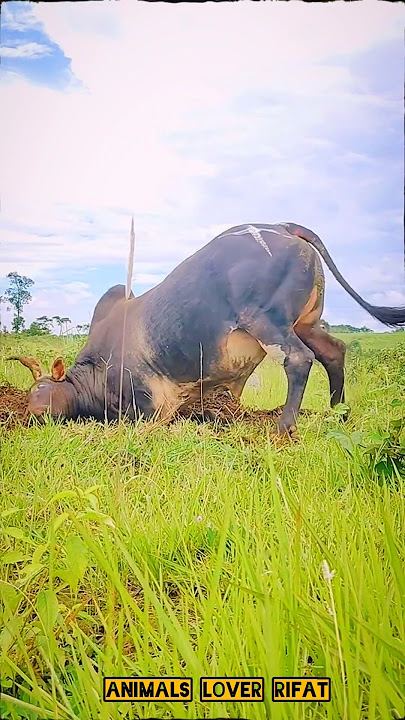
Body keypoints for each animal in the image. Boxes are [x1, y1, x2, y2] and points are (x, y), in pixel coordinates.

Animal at [9, 222, 405, 436]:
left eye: (42, 388)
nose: (29, 418)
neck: (94, 373)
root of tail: (281, 226)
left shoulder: (147, 406)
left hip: (266, 320)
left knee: (299, 360)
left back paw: (283, 430)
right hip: (304, 323)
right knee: (333, 351)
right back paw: (338, 414)